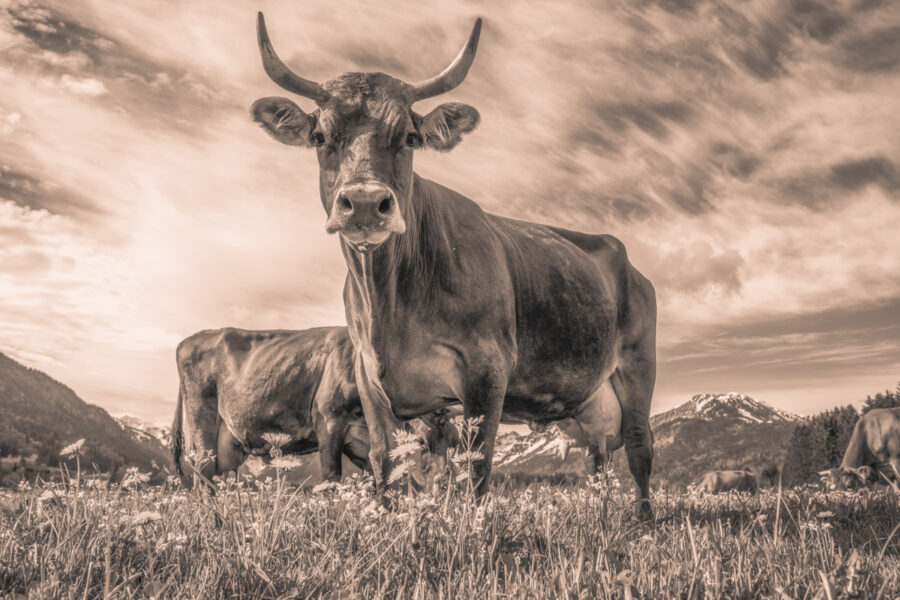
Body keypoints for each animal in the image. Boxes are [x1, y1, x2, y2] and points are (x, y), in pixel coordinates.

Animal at [250, 14, 656, 520]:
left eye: (409, 137)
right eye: (321, 137)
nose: (364, 203)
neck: (390, 304)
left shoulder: (487, 368)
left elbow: (477, 461)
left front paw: (476, 525)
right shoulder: (369, 374)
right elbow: (385, 458)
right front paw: (383, 517)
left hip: (638, 362)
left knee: (639, 445)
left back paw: (644, 520)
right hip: (590, 402)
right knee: (598, 456)